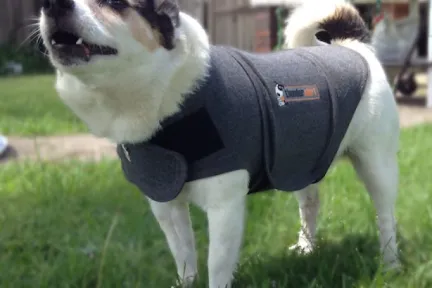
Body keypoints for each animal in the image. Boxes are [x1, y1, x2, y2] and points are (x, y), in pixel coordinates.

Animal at [38, 1, 400, 286]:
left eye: (115, 3)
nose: (53, 3)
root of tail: (352, 45)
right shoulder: (166, 207)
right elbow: (183, 255)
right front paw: (186, 281)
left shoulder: (225, 209)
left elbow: (216, 264)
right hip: (297, 162)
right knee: (310, 204)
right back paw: (307, 248)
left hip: (377, 166)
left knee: (385, 218)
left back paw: (391, 264)